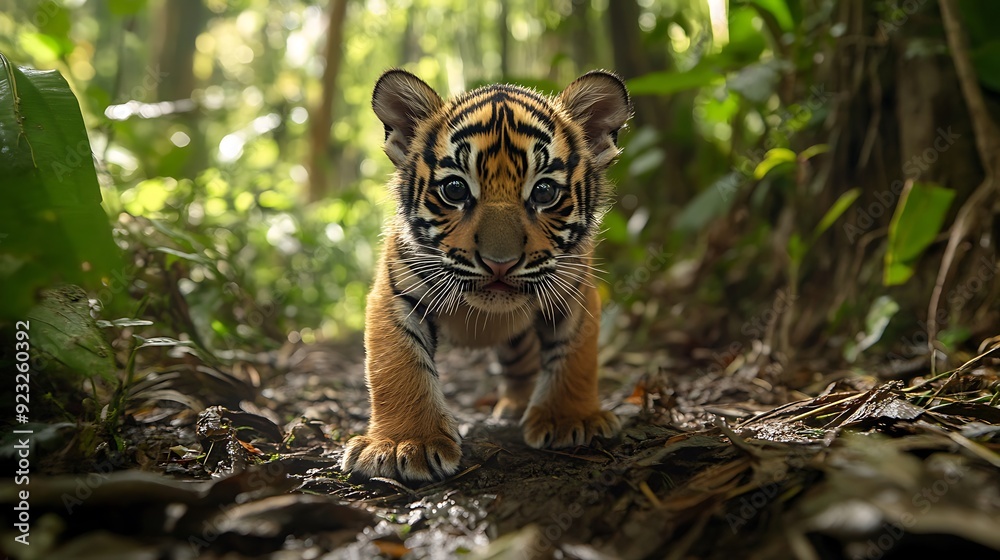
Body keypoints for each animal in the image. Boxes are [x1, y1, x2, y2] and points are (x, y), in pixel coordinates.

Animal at [340, 69, 631, 481]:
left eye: (544, 192)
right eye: (455, 189)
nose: (500, 263)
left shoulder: (572, 293)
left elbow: (574, 357)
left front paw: (571, 420)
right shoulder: (395, 295)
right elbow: (398, 366)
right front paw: (404, 444)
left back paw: (516, 406)